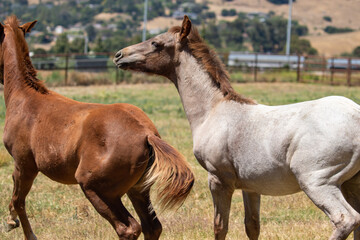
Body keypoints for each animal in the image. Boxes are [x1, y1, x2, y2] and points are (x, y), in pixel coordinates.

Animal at [0, 15, 194, 240]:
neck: (25, 97)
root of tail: (146, 134)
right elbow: (16, 198)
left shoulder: (24, 164)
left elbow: (18, 201)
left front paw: (14, 225)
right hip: (138, 190)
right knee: (152, 227)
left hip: (96, 189)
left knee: (128, 228)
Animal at [114, 15, 360, 239]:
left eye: (156, 43)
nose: (119, 55)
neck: (213, 110)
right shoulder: (252, 187)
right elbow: (252, 226)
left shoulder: (218, 180)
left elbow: (220, 227)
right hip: (350, 184)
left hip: (317, 182)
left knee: (346, 219)